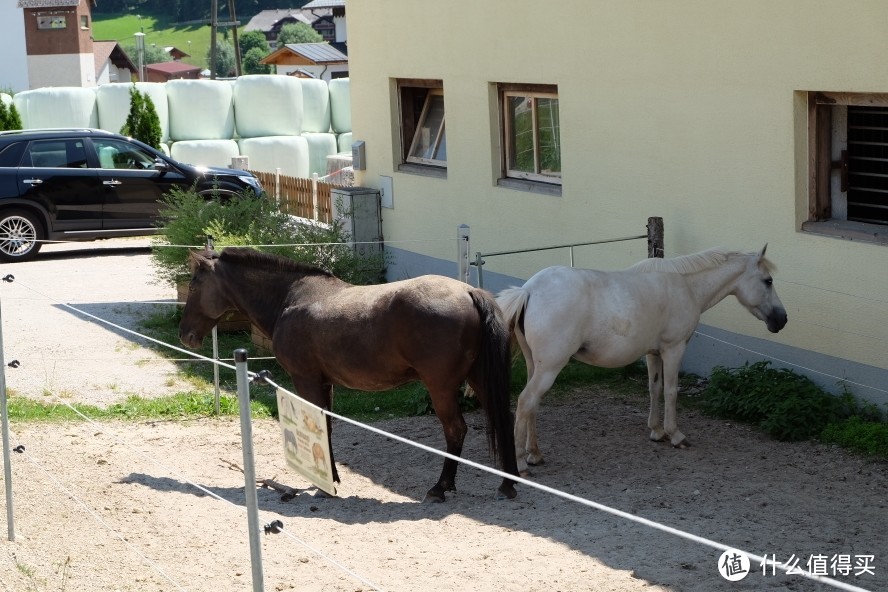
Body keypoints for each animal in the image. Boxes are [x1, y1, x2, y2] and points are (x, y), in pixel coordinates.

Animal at [177, 247, 516, 502]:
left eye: (194, 286)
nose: (185, 335)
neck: (290, 298)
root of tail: (469, 291)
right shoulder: (325, 384)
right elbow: (326, 427)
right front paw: (331, 478)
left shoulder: (306, 380)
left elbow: (320, 428)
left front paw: (327, 484)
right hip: (478, 378)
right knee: (504, 419)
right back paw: (507, 484)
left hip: (441, 387)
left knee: (455, 430)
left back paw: (440, 488)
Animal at [496, 246, 788, 476]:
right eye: (768, 280)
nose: (782, 319)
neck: (685, 285)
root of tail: (528, 290)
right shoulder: (673, 349)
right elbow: (671, 392)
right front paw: (675, 435)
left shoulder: (653, 353)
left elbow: (654, 388)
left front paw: (656, 431)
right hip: (550, 368)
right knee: (525, 402)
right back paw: (521, 464)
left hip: (536, 366)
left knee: (532, 405)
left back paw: (535, 454)